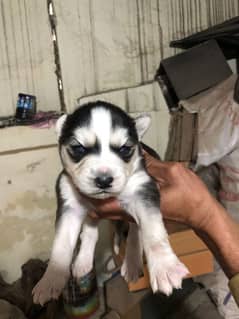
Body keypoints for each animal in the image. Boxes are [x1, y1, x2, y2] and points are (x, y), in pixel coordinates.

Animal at [32, 101, 189, 306]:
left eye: (124, 149)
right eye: (79, 148)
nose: (104, 180)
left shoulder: (143, 189)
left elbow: (153, 232)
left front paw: (165, 267)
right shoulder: (69, 203)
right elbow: (61, 244)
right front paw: (51, 279)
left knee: (135, 232)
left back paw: (132, 262)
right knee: (91, 232)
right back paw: (83, 261)